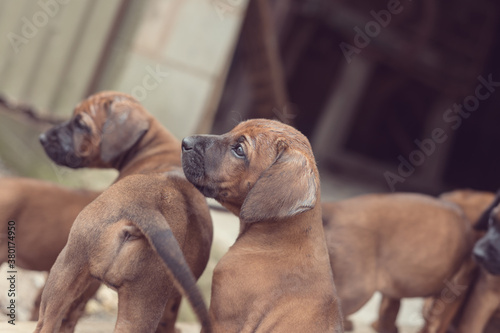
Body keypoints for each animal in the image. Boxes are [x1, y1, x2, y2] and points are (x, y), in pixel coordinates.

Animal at [320, 192, 472, 332]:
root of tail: (334, 208)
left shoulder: (394, 287)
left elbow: (389, 310)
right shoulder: (452, 295)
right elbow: (434, 325)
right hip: (357, 290)